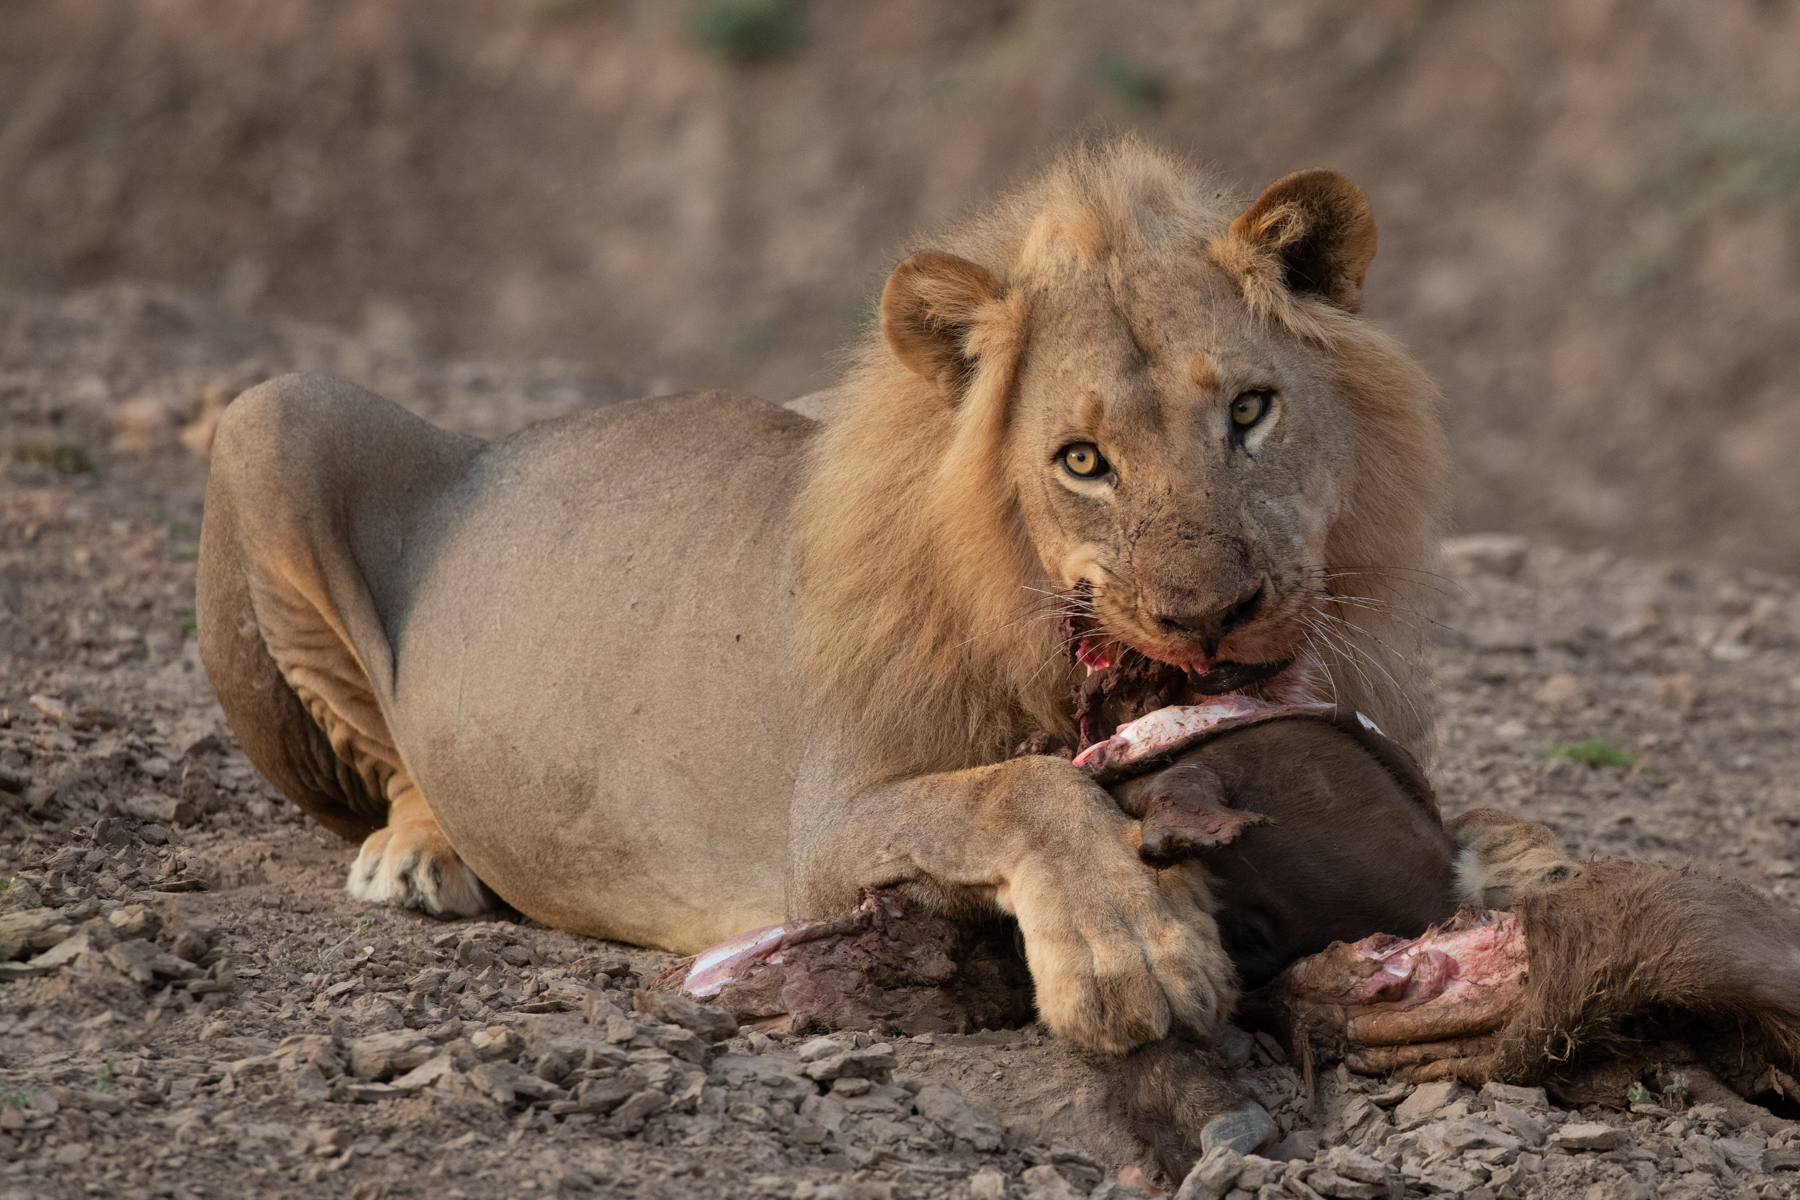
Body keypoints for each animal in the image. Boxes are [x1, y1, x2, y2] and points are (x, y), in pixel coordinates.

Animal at [195, 138, 1448, 1057]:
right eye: (1083, 462)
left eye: (1250, 410)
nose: (1206, 614)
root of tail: (494, 441)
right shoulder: (828, 828)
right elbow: (1023, 788)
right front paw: (1131, 956)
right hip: (273, 411)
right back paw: (418, 851)